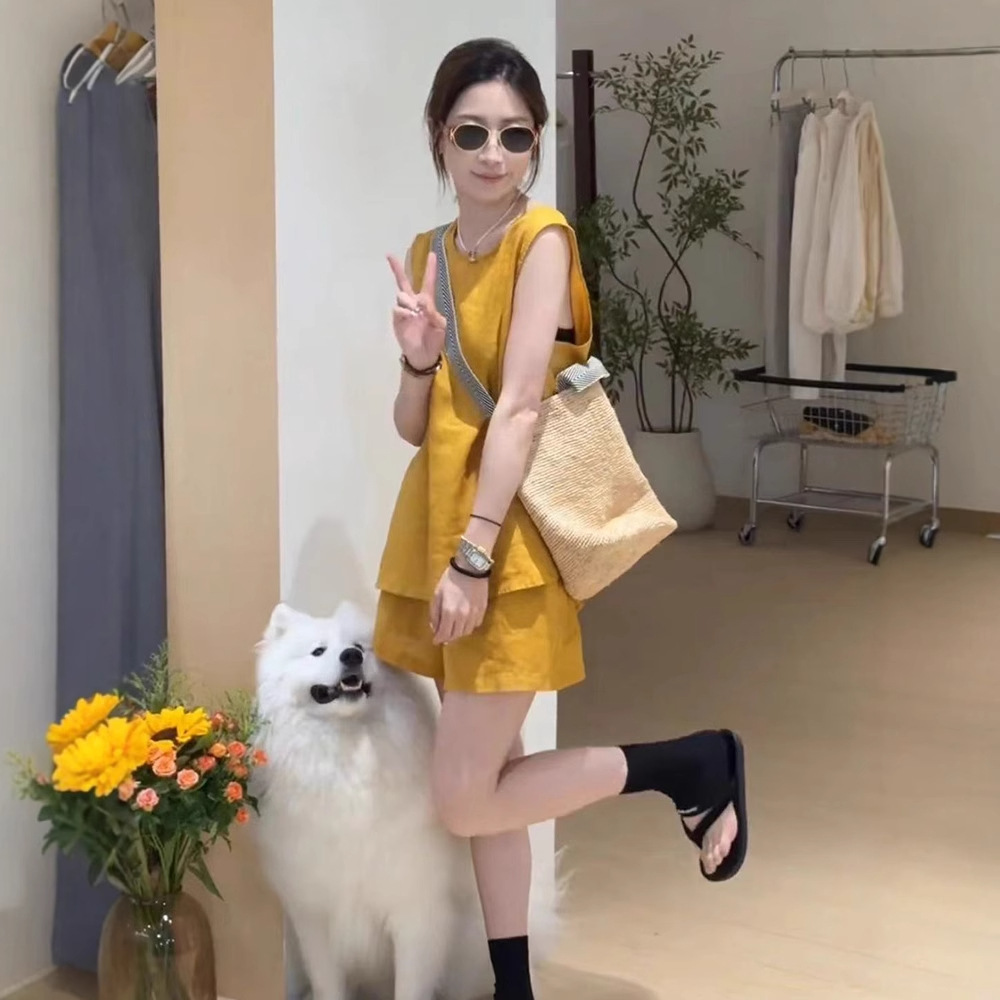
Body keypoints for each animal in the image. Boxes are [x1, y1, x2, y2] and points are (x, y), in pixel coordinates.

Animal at [251, 600, 562, 1000]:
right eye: (318, 651)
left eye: (360, 647)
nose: (351, 656)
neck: (349, 755)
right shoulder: (314, 914)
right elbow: (328, 984)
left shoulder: (415, 911)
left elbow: (411, 985)